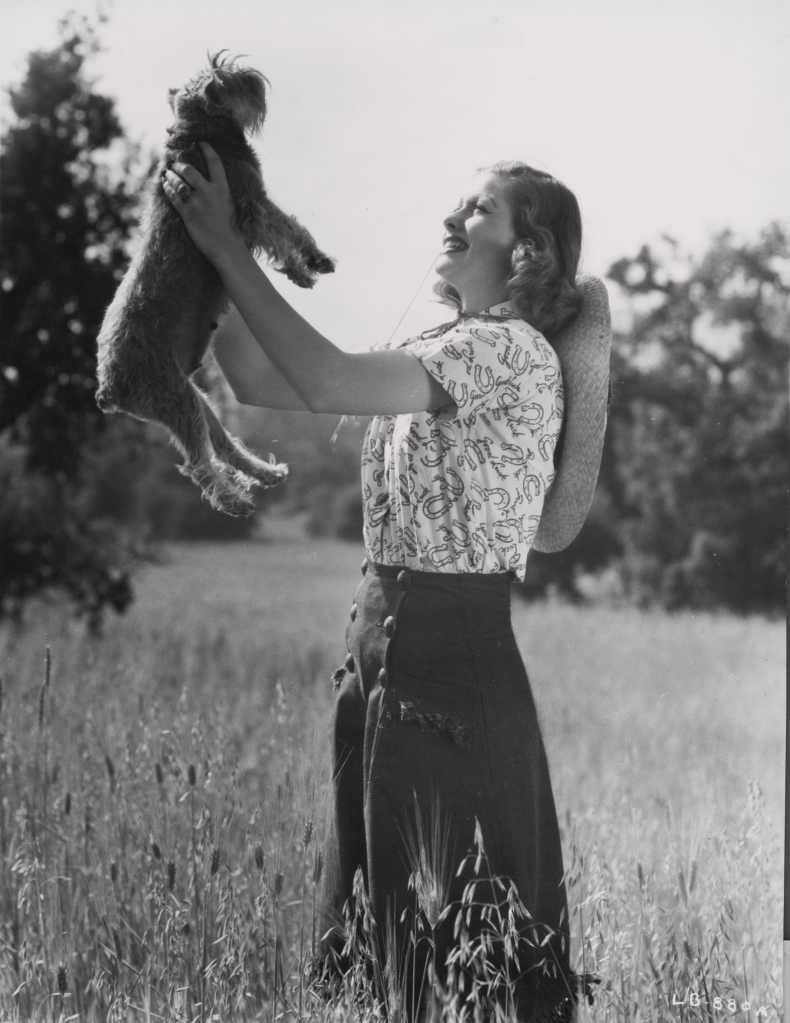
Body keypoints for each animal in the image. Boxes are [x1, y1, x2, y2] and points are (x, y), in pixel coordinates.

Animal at [94, 51, 335, 515]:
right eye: (226, 77)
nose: (251, 73)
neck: (198, 131)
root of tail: (108, 387)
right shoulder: (251, 204)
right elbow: (285, 229)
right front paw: (309, 265)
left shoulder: (246, 206)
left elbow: (283, 230)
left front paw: (305, 269)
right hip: (178, 398)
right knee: (199, 464)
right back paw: (235, 500)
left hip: (194, 400)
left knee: (223, 445)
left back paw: (265, 473)